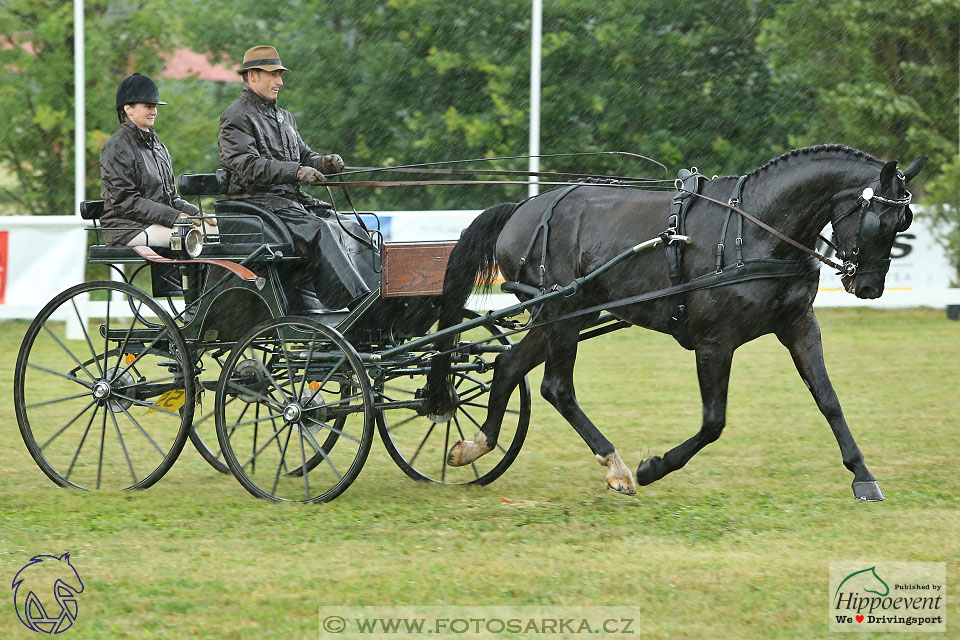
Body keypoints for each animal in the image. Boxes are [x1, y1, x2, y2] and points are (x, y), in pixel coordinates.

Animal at [424, 144, 928, 500]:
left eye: (904, 221)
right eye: (880, 221)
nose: (869, 287)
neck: (756, 228)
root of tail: (522, 209)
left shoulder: (798, 325)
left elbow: (829, 400)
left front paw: (863, 476)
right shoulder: (714, 342)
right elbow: (713, 421)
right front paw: (653, 467)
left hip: (560, 314)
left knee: (509, 366)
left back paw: (477, 445)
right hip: (561, 312)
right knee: (556, 387)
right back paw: (617, 467)